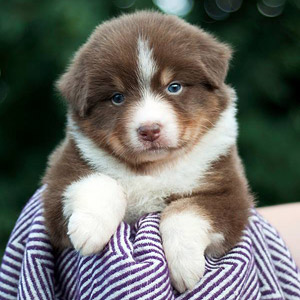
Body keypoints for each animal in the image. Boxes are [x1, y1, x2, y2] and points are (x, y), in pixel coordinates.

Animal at [42, 10, 253, 292]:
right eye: (117, 97)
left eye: (174, 87)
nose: (150, 130)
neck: (152, 168)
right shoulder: (60, 177)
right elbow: (100, 181)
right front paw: (90, 228)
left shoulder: (228, 191)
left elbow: (185, 209)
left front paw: (184, 265)